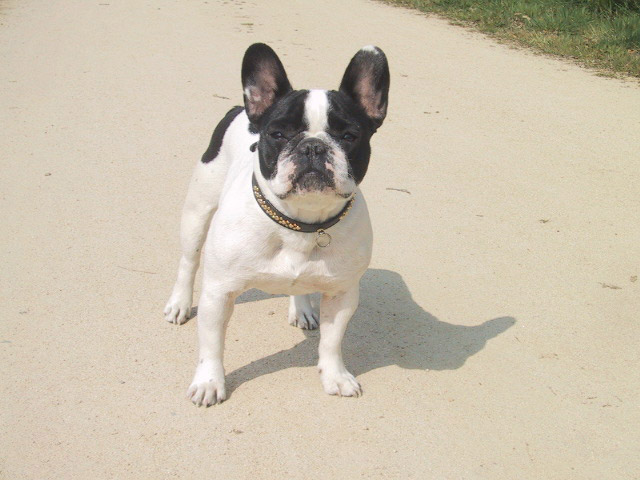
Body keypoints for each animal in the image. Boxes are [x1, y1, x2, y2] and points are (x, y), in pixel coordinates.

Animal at [164, 44, 390, 404]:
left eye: (349, 136)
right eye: (278, 134)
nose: (313, 146)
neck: (299, 223)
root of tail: (239, 109)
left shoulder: (342, 293)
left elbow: (332, 341)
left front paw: (335, 376)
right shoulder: (218, 292)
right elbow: (212, 344)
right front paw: (209, 382)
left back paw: (302, 308)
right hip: (197, 211)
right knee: (188, 261)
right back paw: (179, 304)